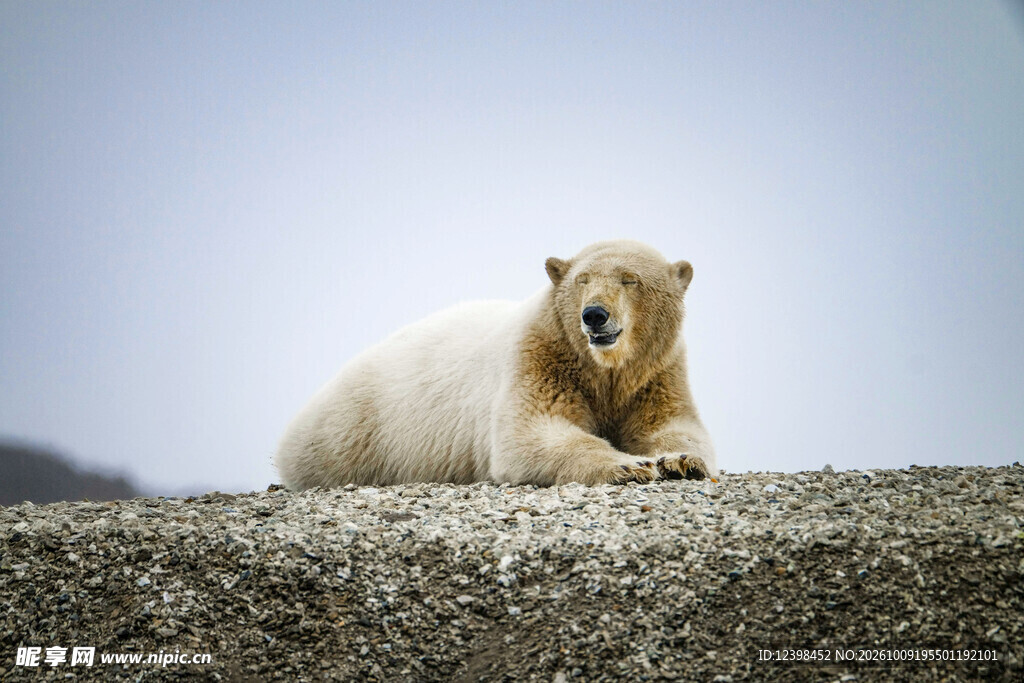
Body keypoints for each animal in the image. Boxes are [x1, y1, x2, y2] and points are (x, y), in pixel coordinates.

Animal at [274, 240, 716, 488]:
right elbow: (531, 433)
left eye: (630, 279)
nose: (594, 315)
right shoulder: (540, 356)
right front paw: (630, 465)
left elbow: (672, 426)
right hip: (358, 430)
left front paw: (679, 461)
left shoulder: (656, 373)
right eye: (583, 280)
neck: (601, 369)